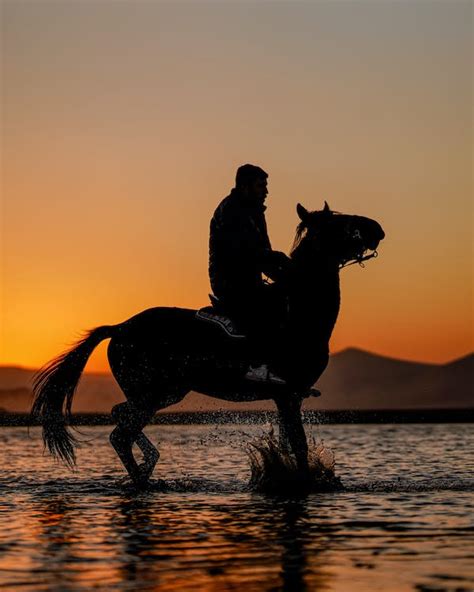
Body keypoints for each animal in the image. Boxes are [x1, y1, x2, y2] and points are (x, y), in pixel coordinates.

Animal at [30, 202, 386, 486]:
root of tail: (120, 328)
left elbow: (289, 443)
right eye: (339, 224)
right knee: (120, 433)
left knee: (121, 419)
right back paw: (145, 477)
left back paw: (147, 468)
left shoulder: (289, 397)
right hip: (154, 393)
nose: (377, 229)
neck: (299, 313)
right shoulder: (288, 394)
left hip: (164, 393)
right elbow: (297, 446)